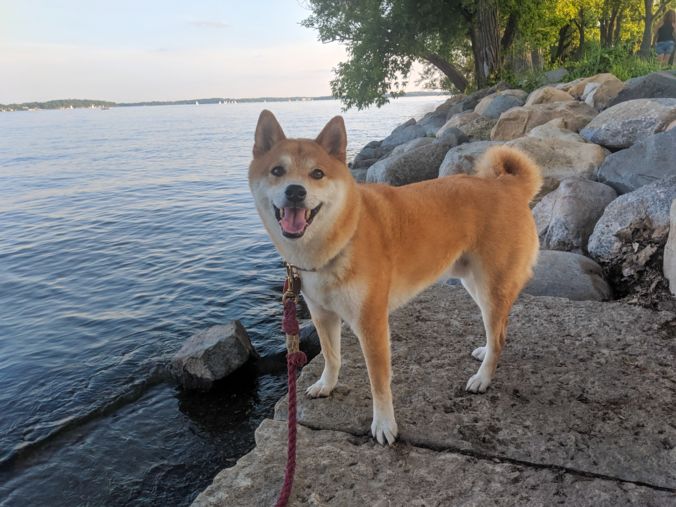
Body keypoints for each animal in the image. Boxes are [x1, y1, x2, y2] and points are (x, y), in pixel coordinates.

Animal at [250, 110, 544, 444]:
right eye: (277, 170)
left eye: (317, 174)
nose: (295, 191)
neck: (341, 239)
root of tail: (509, 186)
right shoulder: (322, 314)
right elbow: (331, 356)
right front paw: (327, 385)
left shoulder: (371, 323)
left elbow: (378, 382)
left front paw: (383, 424)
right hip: (475, 284)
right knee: (496, 330)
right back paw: (484, 352)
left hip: (491, 285)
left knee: (500, 335)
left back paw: (483, 376)